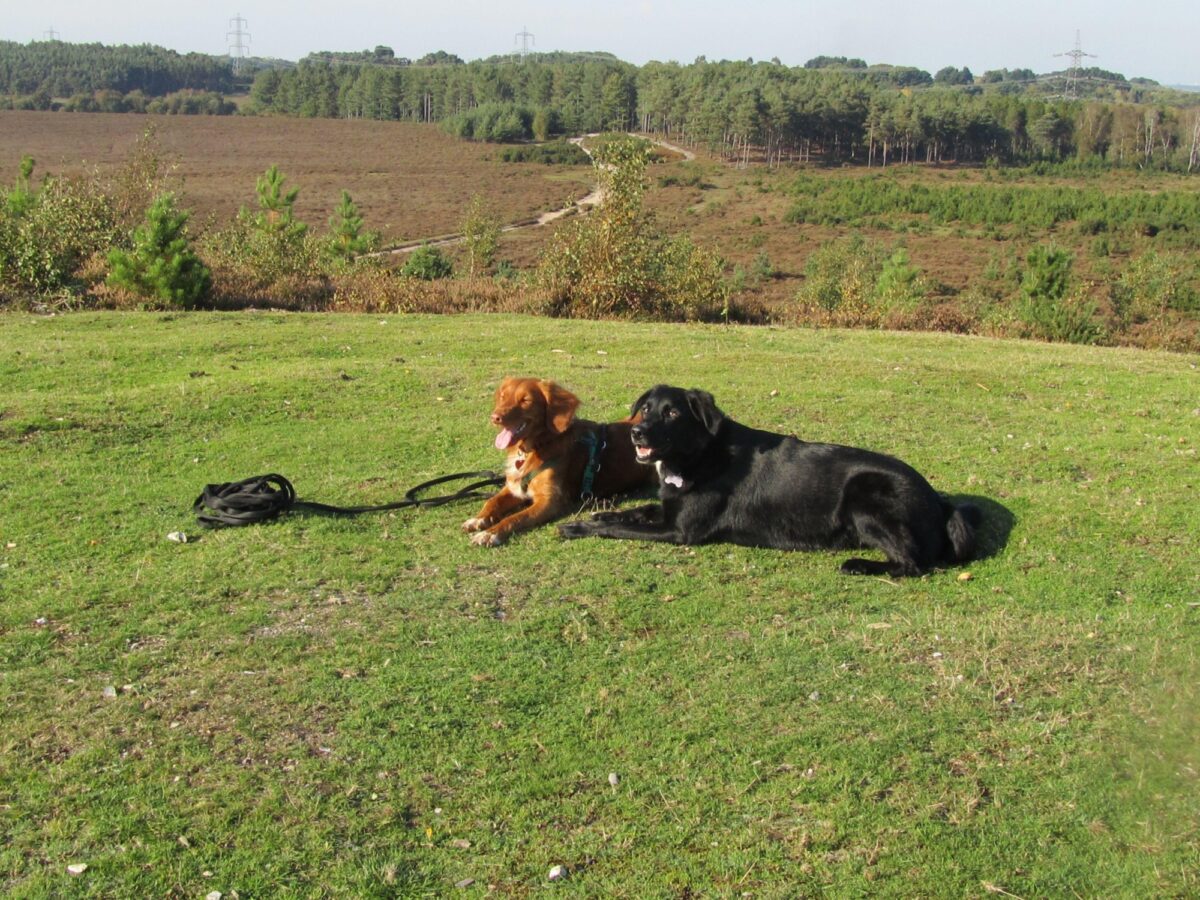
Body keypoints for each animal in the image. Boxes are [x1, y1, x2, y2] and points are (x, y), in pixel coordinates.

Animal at [463, 376, 657, 547]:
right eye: (503, 397)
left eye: (525, 400)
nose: (495, 417)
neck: (538, 446)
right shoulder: (514, 487)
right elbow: (492, 501)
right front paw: (478, 519)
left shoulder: (550, 501)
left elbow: (515, 517)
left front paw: (491, 533)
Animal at [556, 388, 979, 578]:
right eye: (645, 408)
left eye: (672, 412)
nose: (637, 434)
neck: (699, 453)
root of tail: (941, 502)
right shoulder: (668, 510)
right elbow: (636, 510)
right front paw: (595, 517)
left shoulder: (679, 532)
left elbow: (620, 527)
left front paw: (578, 527)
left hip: (866, 491)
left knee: (915, 563)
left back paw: (858, 564)